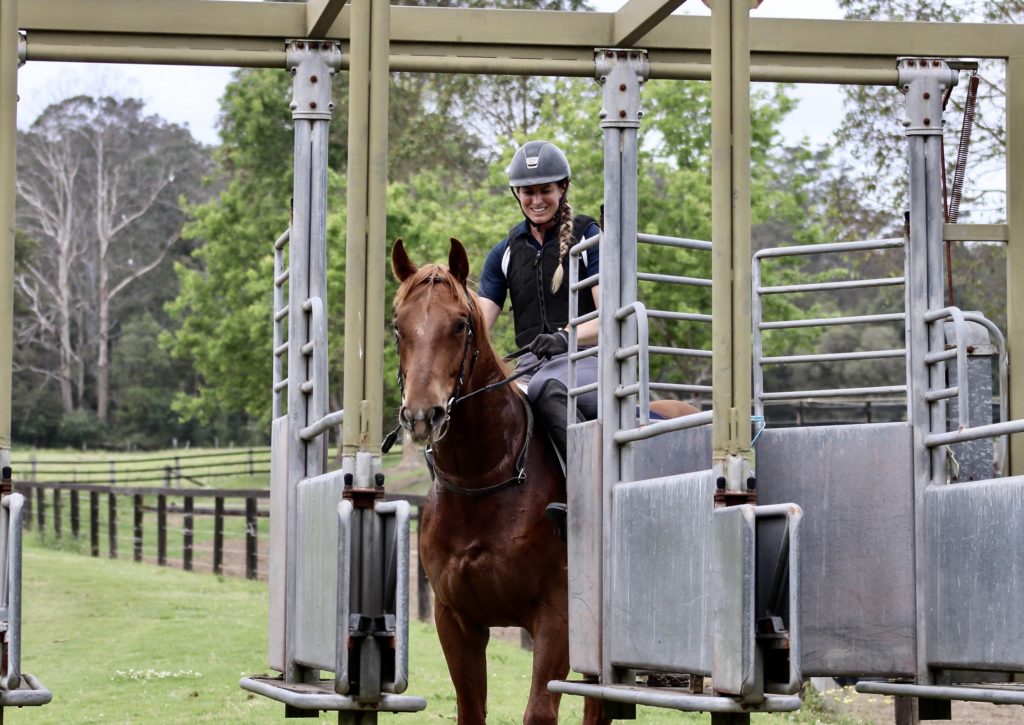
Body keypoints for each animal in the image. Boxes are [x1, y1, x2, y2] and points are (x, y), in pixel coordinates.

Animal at [391, 237, 608, 725]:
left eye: (460, 324)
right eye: (398, 326)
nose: (421, 415)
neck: (486, 477)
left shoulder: (558, 618)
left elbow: (539, 712)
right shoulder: (456, 620)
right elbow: (470, 707)